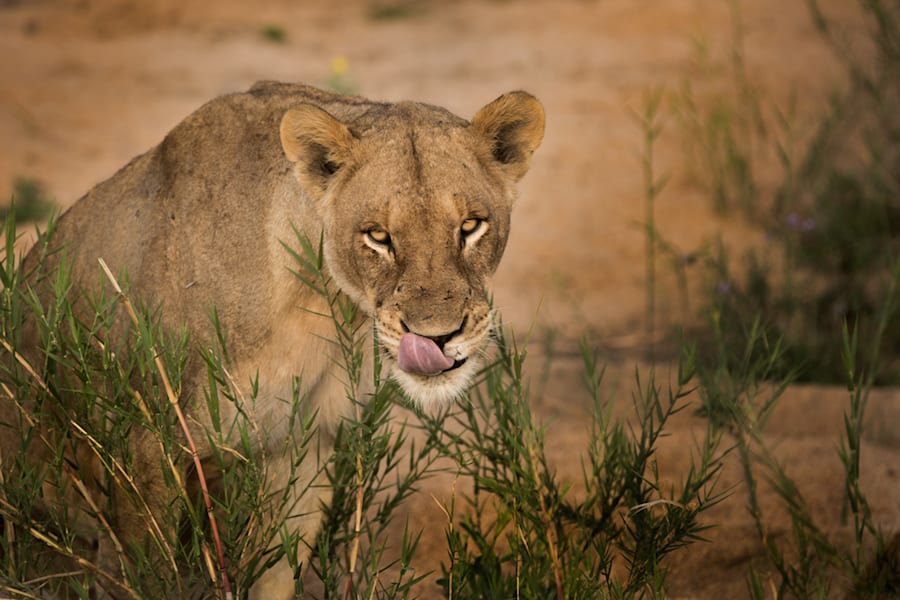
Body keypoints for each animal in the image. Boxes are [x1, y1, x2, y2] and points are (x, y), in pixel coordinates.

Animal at [1, 81, 544, 597]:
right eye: (378, 236)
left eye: (470, 226)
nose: (438, 336)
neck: (321, 307)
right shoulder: (149, 445)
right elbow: (148, 575)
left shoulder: (305, 448)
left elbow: (276, 573)